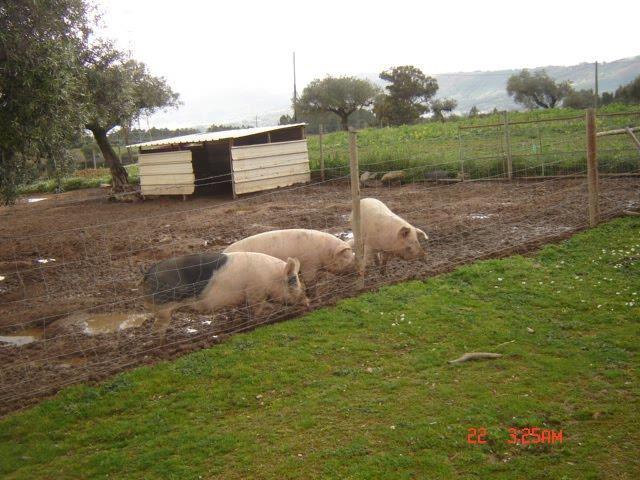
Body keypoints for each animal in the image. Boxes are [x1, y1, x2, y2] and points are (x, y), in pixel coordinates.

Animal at [141, 251, 310, 338]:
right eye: (293, 281)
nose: (307, 301)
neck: (271, 277)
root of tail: (148, 274)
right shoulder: (255, 293)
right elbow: (257, 311)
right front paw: (254, 325)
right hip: (163, 308)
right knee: (157, 329)